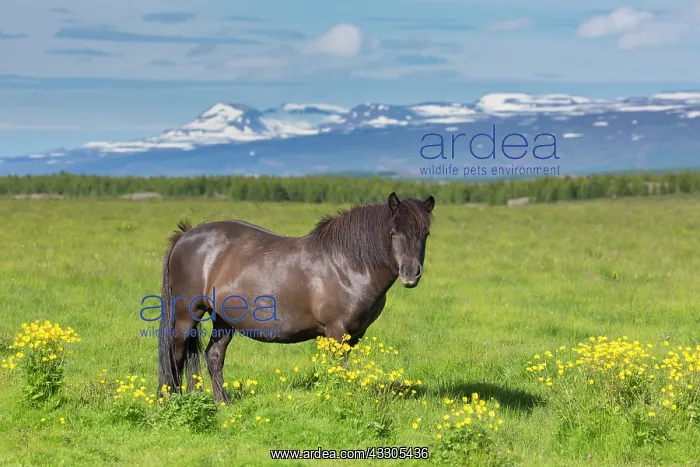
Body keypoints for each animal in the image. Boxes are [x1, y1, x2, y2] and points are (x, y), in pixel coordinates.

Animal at [157, 192, 435, 402]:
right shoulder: (336, 331)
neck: (348, 263)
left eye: (425, 234)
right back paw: (172, 400)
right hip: (187, 315)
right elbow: (339, 370)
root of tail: (185, 236)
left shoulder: (355, 335)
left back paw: (222, 402)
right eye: (393, 233)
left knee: (214, 356)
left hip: (224, 320)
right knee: (176, 356)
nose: (411, 274)